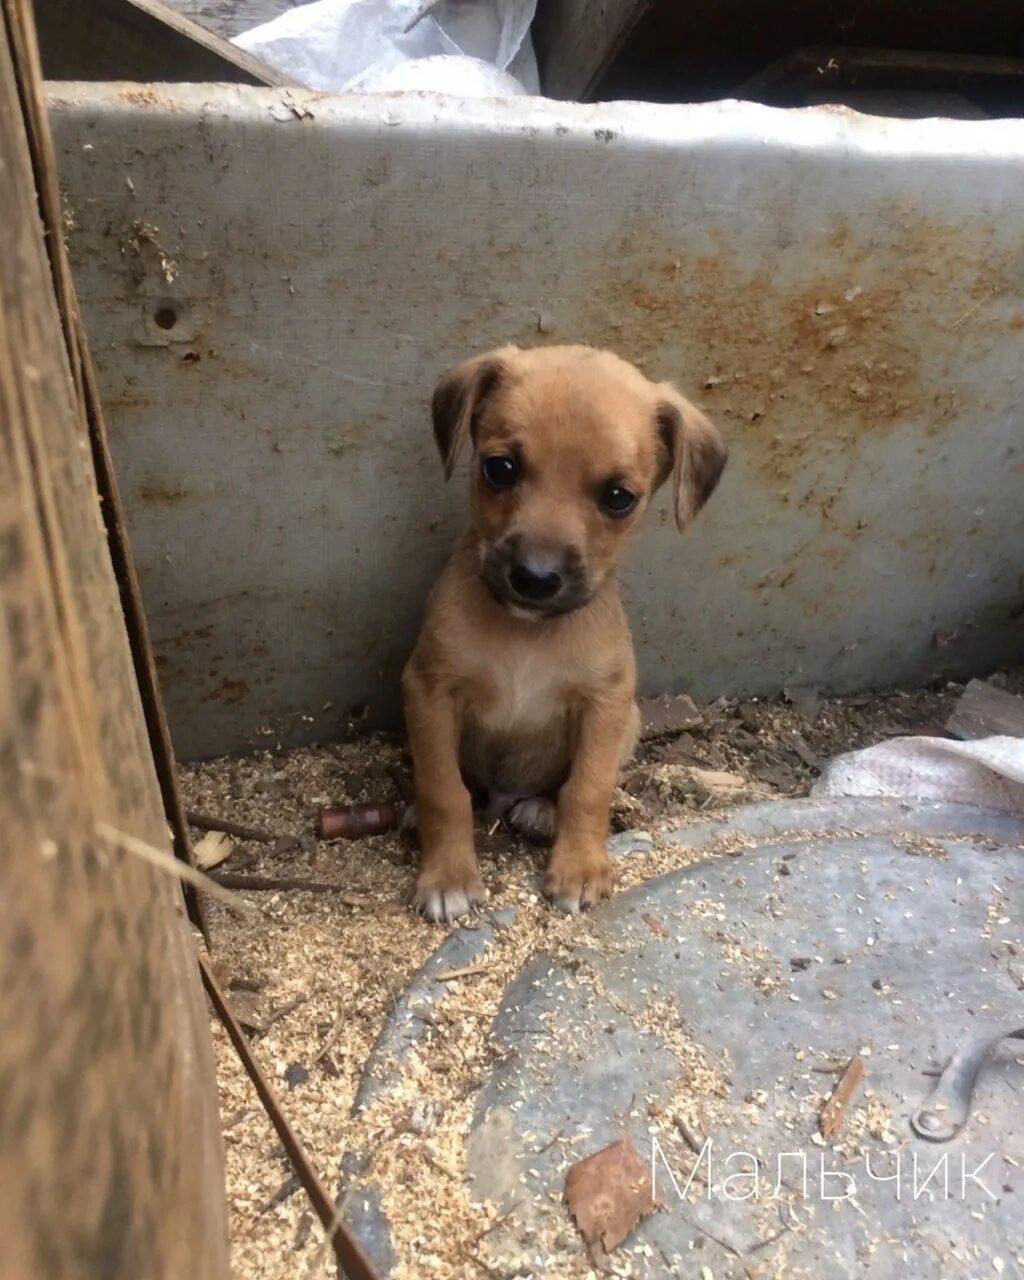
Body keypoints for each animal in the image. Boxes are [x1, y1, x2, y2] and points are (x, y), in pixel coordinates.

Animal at [401, 343, 727, 921]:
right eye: (500, 468)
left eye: (619, 497)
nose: (535, 578)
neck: (527, 637)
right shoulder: (429, 691)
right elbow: (445, 790)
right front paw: (448, 876)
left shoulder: (605, 703)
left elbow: (588, 788)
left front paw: (579, 867)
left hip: (629, 723)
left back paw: (541, 811)